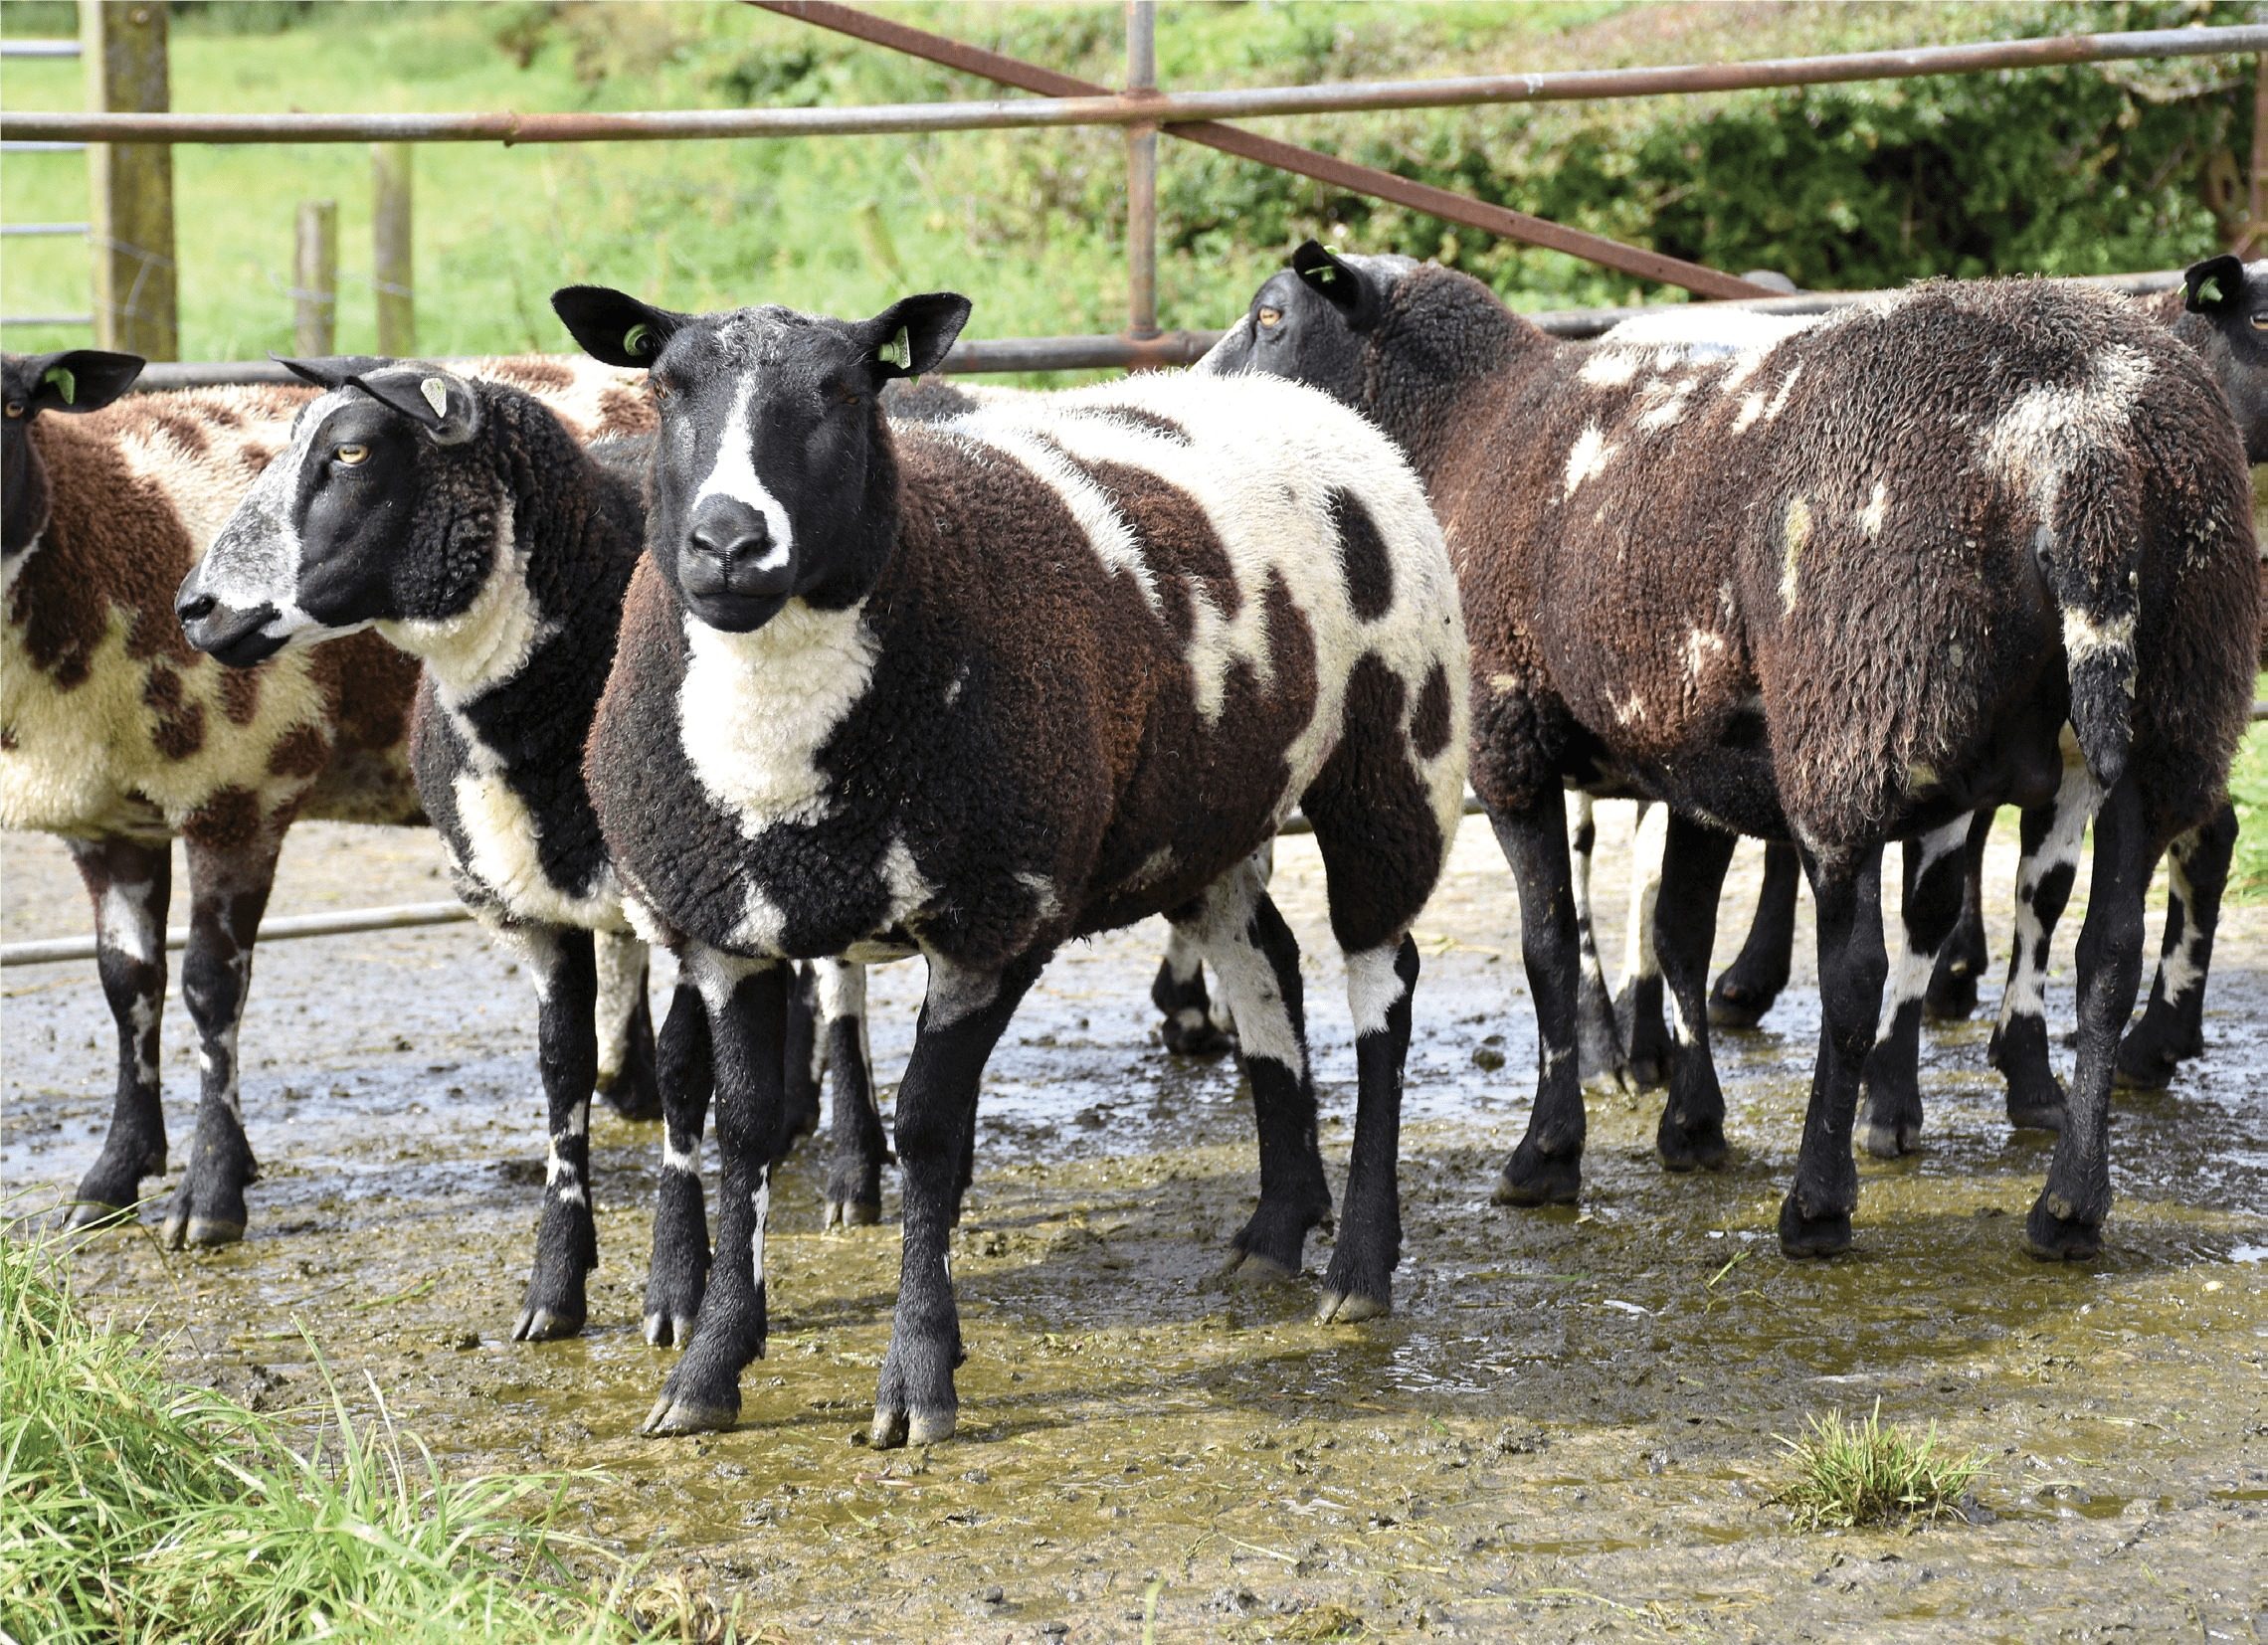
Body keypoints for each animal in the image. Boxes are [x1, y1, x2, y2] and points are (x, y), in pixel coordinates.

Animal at [548, 282, 1469, 1433]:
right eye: (667, 385)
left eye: (845, 389)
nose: (729, 544)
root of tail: (1311, 405)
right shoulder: (728, 930)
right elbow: (746, 1130)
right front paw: (707, 1373)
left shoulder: (996, 916)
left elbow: (931, 1136)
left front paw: (916, 1382)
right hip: (1212, 810)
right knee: (1267, 967)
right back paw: (1272, 1233)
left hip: (1398, 753)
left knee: (1382, 988)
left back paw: (1359, 1268)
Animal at [1225, 240, 2268, 1261]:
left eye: (1272, 314)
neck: (1466, 427)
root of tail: (2086, 439)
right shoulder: (1693, 755)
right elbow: (1677, 930)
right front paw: (1690, 1123)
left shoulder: (1508, 736)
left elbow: (1549, 947)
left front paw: (1548, 1153)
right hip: (2167, 715)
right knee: (2107, 954)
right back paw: (2068, 1208)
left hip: (1856, 719)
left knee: (1858, 973)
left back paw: (1818, 1203)